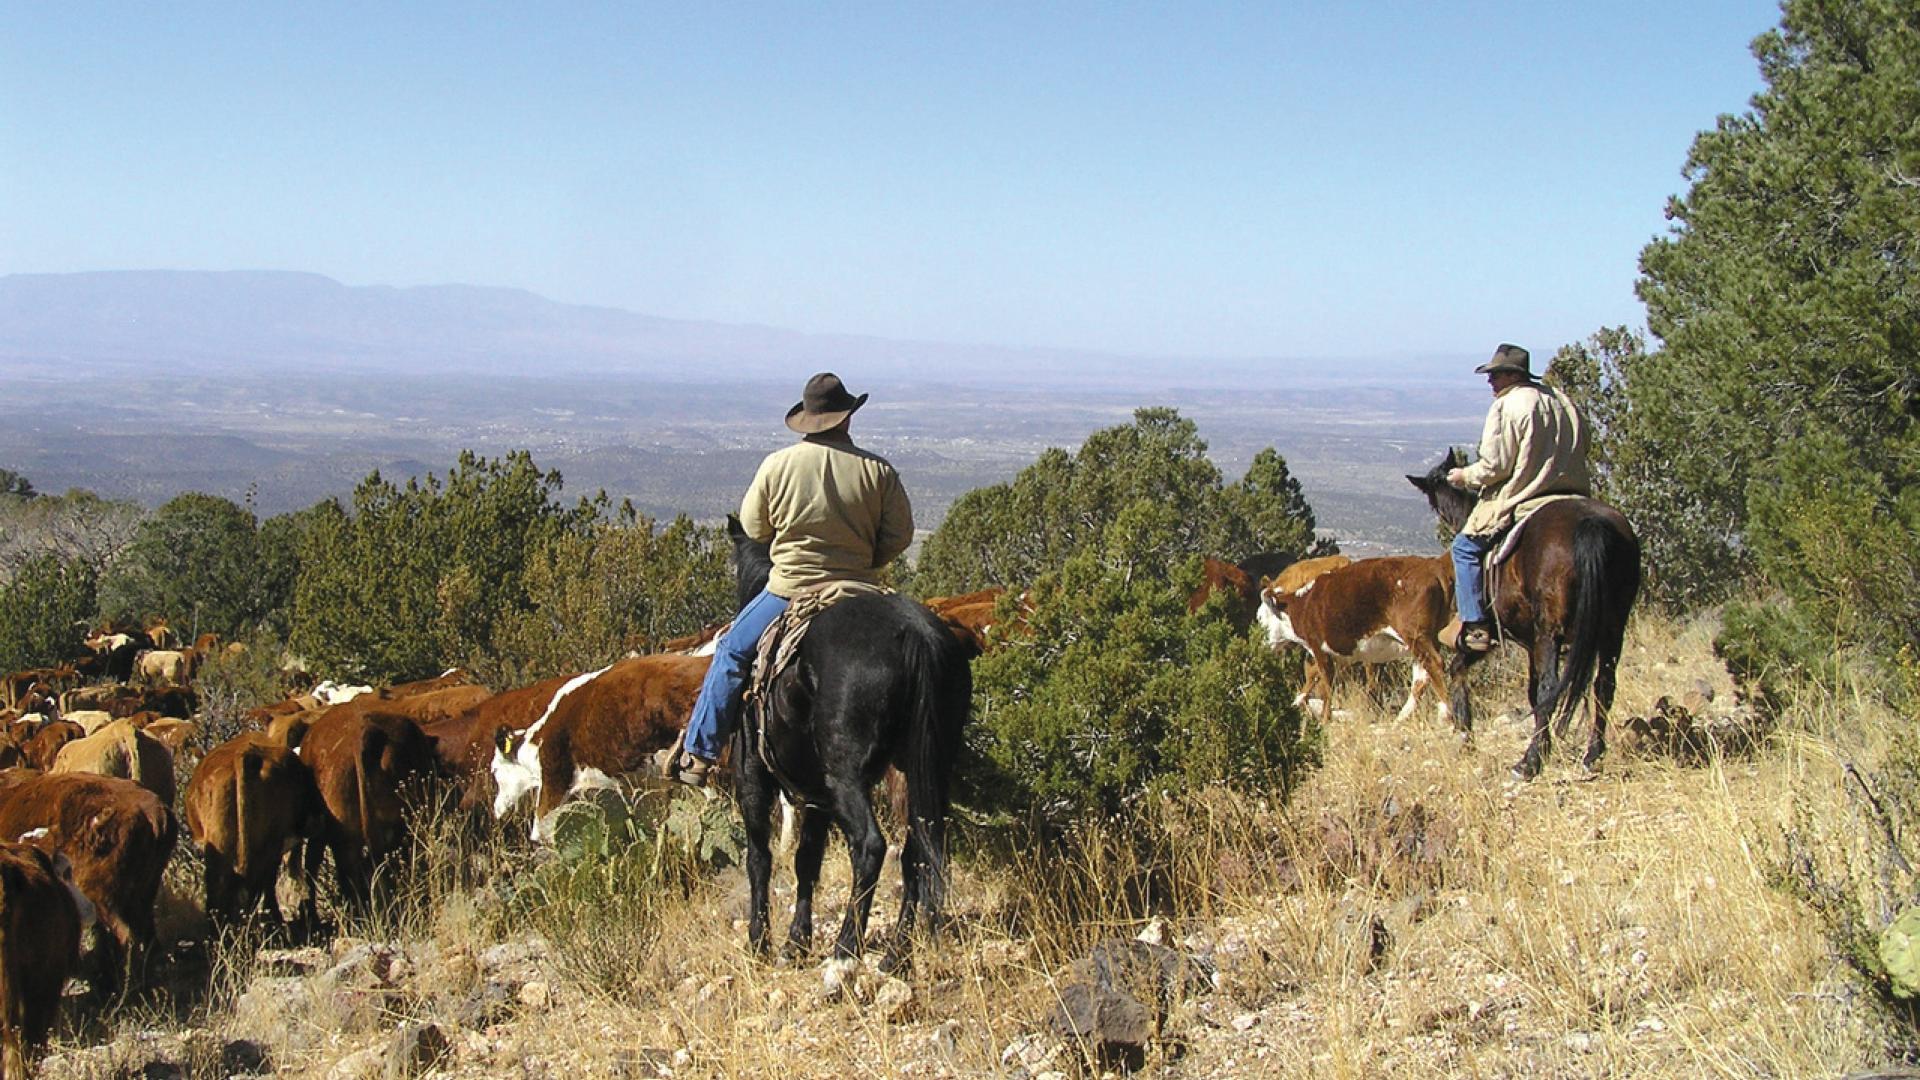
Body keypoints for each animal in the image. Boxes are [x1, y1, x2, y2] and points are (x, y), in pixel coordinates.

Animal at [721, 511, 967, 957]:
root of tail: (917, 634)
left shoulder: (751, 777)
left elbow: (759, 856)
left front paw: (760, 939)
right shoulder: (816, 794)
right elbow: (807, 859)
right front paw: (797, 940)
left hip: (846, 776)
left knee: (870, 846)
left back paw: (847, 945)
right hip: (923, 771)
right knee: (918, 849)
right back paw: (896, 953)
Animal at [1405, 449, 1643, 776]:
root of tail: (1592, 524)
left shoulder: (1492, 634)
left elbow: (1459, 670)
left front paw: (1466, 735)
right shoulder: (1531, 643)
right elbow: (1530, 691)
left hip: (1551, 632)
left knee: (1550, 688)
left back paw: (1530, 761)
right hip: (1612, 628)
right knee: (1603, 685)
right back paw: (1592, 755)